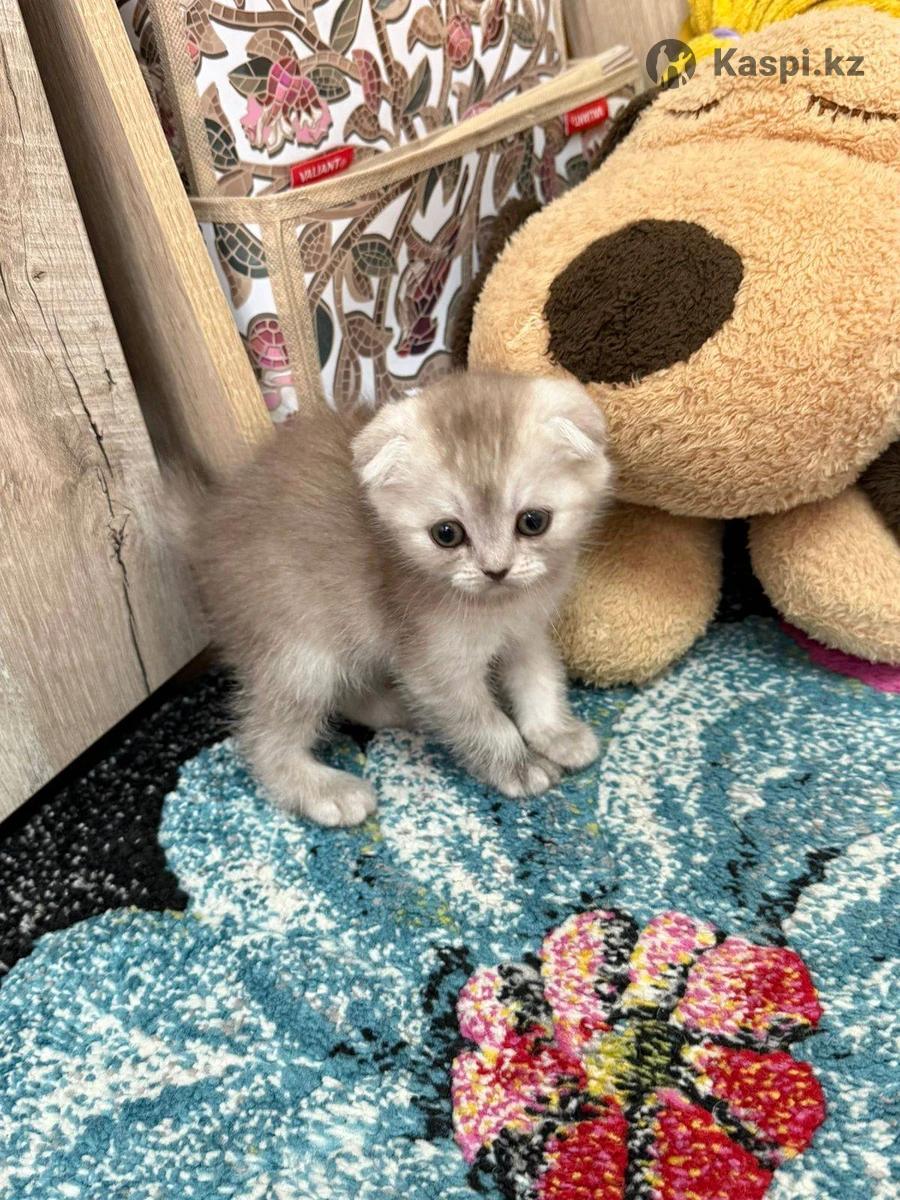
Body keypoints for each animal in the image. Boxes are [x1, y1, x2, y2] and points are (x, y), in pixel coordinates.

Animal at [191, 371, 613, 826]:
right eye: (447, 533)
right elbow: (483, 720)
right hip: (300, 652)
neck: (500, 607)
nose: (496, 570)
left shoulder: (527, 634)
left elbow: (540, 682)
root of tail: (205, 538)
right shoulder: (435, 664)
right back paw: (325, 790)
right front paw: (518, 765)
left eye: (533, 522)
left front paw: (556, 733)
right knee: (262, 739)